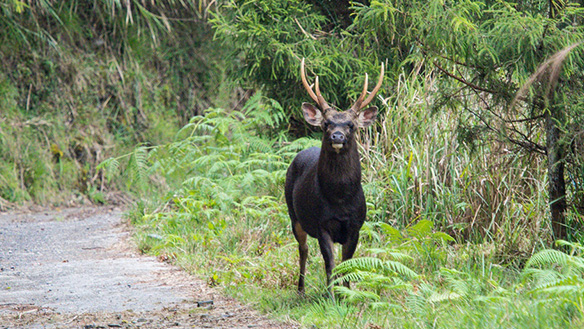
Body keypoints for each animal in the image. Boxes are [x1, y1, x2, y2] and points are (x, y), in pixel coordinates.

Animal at [284, 57, 384, 294]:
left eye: (351, 125)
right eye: (326, 124)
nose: (337, 136)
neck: (340, 199)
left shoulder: (355, 225)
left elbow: (347, 263)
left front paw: (347, 293)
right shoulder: (322, 223)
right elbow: (330, 263)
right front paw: (331, 294)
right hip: (294, 215)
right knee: (303, 249)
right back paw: (300, 289)